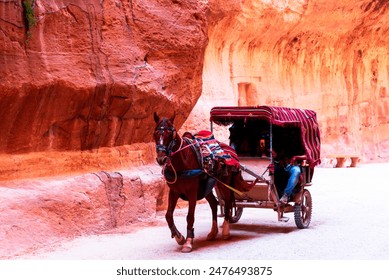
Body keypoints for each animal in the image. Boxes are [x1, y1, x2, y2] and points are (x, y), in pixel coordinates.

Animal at [153, 112, 253, 253]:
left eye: (170, 133)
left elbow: (190, 216)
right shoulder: (174, 191)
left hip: (224, 183)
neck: (182, 162)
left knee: (227, 203)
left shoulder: (192, 192)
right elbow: (168, 216)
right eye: (155, 134)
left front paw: (188, 241)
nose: (161, 159)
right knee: (214, 204)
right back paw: (213, 232)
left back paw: (225, 231)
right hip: (209, 186)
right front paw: (179, 237)